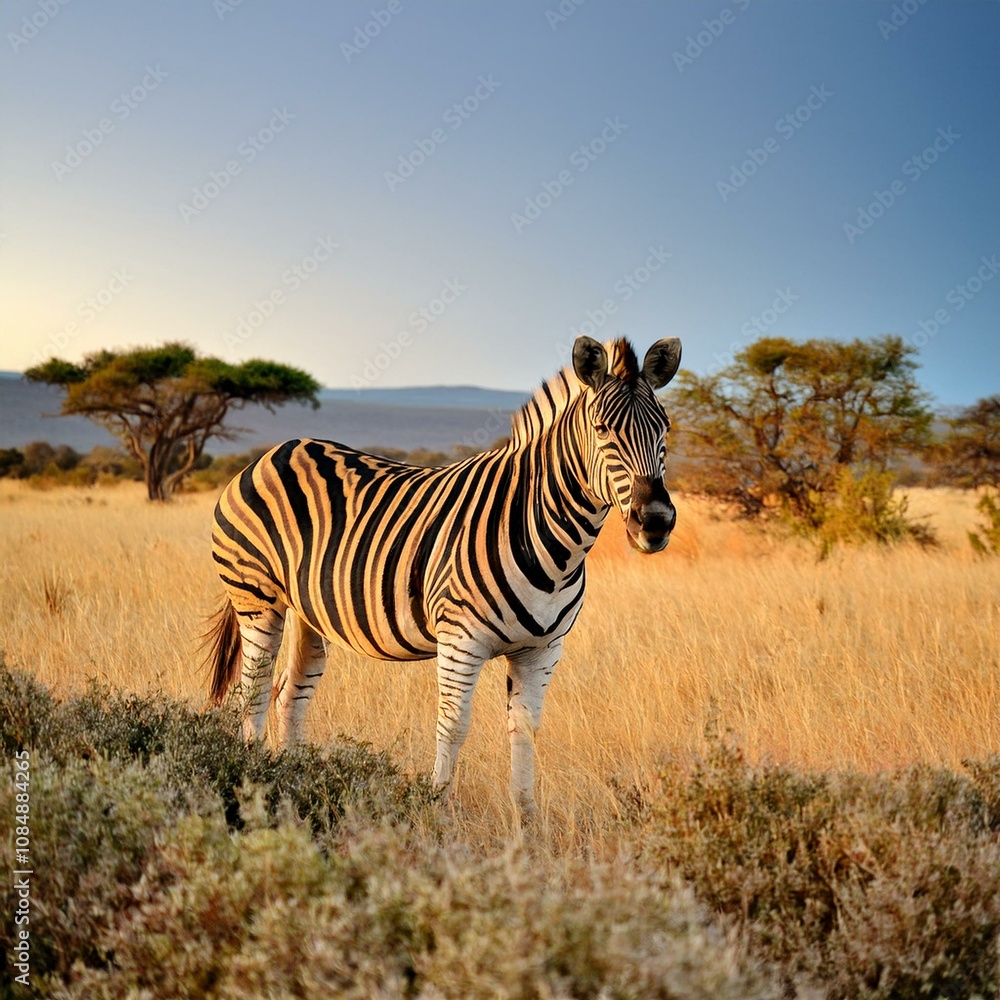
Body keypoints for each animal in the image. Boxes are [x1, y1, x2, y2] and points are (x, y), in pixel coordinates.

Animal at [205, 335, 681, 813]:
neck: (553, 547)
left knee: (291, 692)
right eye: (602, 430)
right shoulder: (461, 639)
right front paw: (438, 810)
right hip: (256, 597)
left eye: (666, 428)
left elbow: (525, 731)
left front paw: (526, 821)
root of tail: (276, 451)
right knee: (254, 693)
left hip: (308, 611)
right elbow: (453, 726)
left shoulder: (542, 649)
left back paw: (293, 780)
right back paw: (253, 778)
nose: (656, 522)